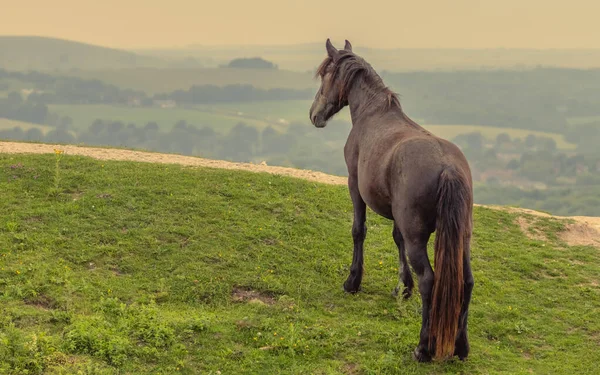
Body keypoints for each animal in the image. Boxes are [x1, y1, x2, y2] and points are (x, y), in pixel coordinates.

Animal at [310, 39, 474, 362]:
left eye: (325, 74)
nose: (314, 115)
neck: (373, 114)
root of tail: (447, 167)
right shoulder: (398, 217)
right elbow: (396, 238)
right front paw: (402, 287)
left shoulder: (354, 186)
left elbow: (358, 231)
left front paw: (353, 282)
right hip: (461, 238)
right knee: (466, 281)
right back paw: (461, 347)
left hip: (419, 239)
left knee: (430, 281)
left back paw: (423, 347)